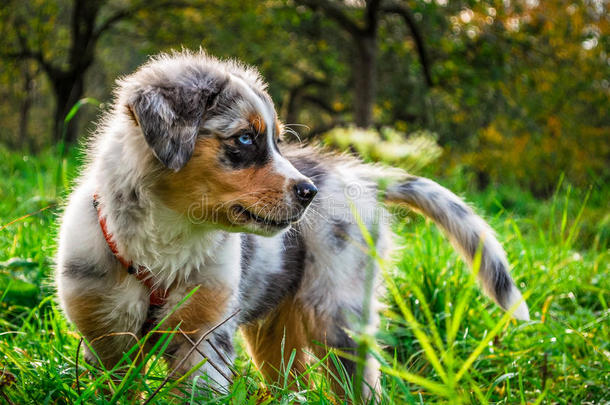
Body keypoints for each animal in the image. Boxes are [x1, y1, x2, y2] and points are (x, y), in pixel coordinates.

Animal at [53, 50, 528, 398]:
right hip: (274, 331)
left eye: (278, 141)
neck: (170, 236)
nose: (308, 193)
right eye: (246, 138)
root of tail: (357, 175)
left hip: (337, 316)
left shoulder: (205, 337)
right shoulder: (104, 338)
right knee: (292, 383)